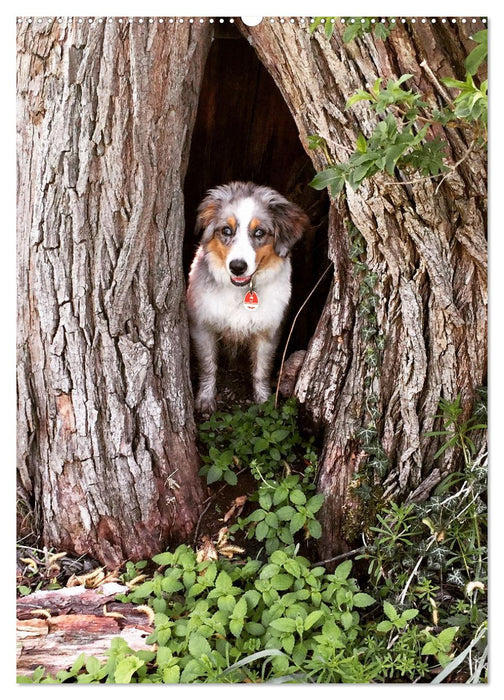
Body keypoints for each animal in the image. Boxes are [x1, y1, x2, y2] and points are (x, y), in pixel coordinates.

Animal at [187, 182, 310, 416]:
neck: (242, 291)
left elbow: (261, 370)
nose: (237, 266)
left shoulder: (268, 332)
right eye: (226, 230)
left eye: (259, 232)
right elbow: (208, 366)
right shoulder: (202, 326)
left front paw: (264, 402)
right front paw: (205, 399)